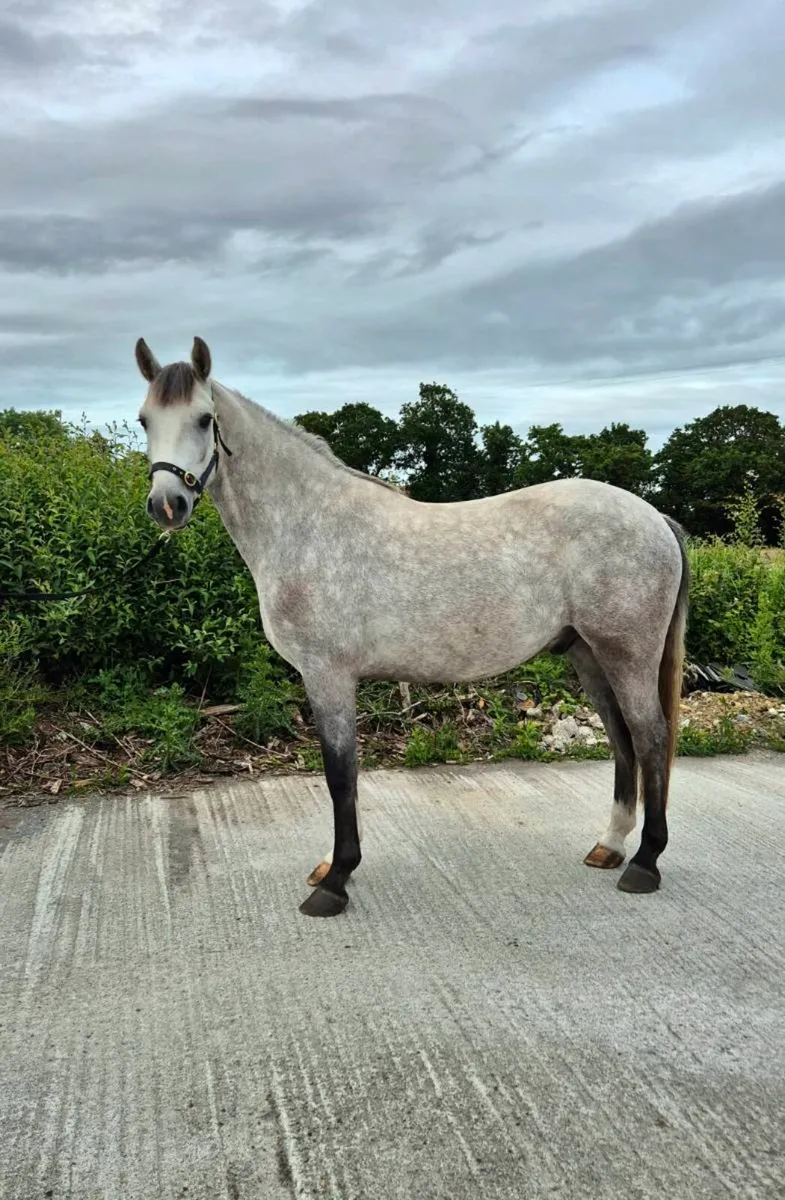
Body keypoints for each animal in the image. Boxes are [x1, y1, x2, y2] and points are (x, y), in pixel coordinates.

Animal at [134, 336, 689, 918]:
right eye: (145, 420)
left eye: (203, 419)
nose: (167, 505)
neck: (307, 526)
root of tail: (654, 517)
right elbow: (345, 775)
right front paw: (332, 869)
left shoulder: (327, 676)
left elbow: (340, 774)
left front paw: (336, 882)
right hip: (589, 655)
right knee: (622, 739)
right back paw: (611, 845)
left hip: (626, 655)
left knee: (651, 738)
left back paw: (645, 863)